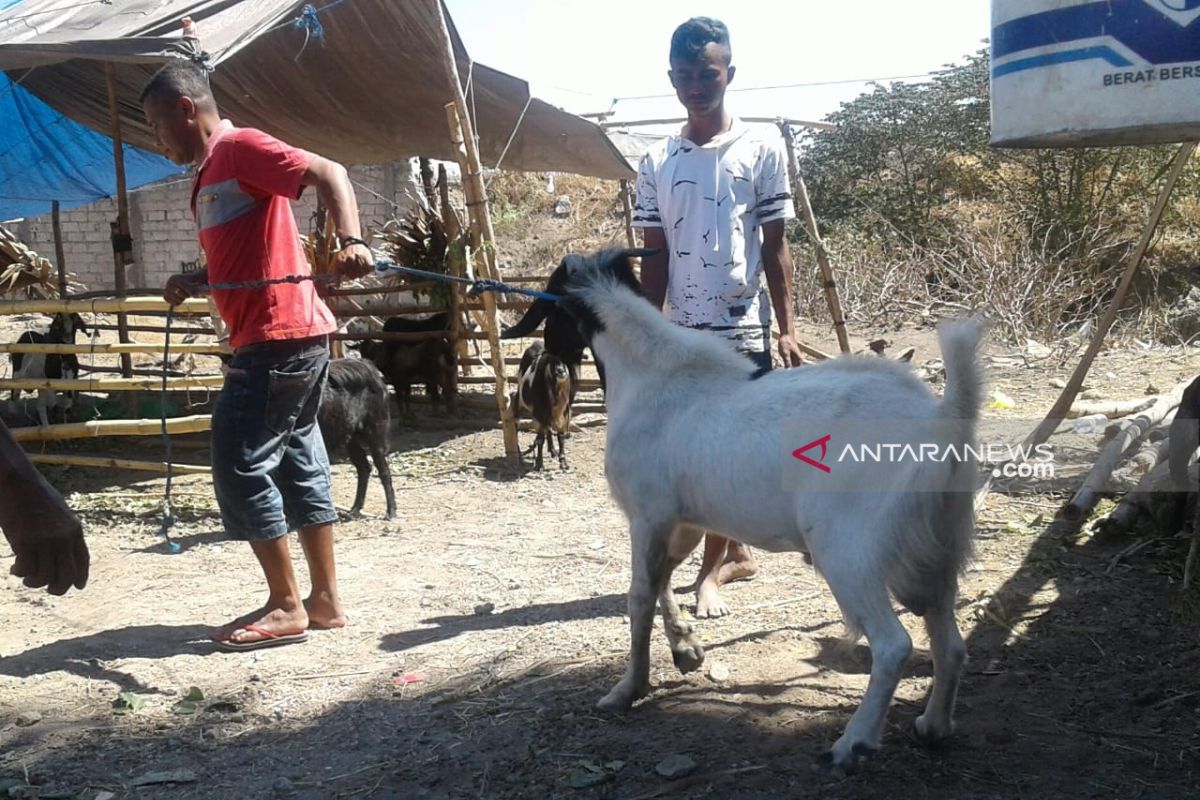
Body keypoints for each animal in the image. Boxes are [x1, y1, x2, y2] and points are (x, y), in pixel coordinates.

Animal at [316, 359, 396, 522]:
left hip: (375, 435)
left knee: (384, 471)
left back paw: (390, 512)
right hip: (352, 440)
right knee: (364, 468)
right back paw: (354, 510)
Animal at [508, 340, 573, 472]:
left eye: (567, 357)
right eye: (552, 359)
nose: (560, 370)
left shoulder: (563, 414)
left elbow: (561, 437)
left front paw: (563, 462)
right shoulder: (539, 415)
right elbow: (539, 440)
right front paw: (539, 464)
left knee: (548, 429)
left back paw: (552, 450)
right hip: (520, 403)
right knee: (516, 425)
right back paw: (519, 454)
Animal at [537, 247, 984, 772]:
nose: (550, 359)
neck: (654, 374)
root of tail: (939, 423)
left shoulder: (648, 515)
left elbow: (639, 595)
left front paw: (628, 689)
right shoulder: (683, 520)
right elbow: (663, 579)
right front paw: (686, 648)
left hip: (849, 554)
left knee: (894, 645)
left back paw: (852, 743)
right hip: (937, 554)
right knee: (950, 645)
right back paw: (933, 726)